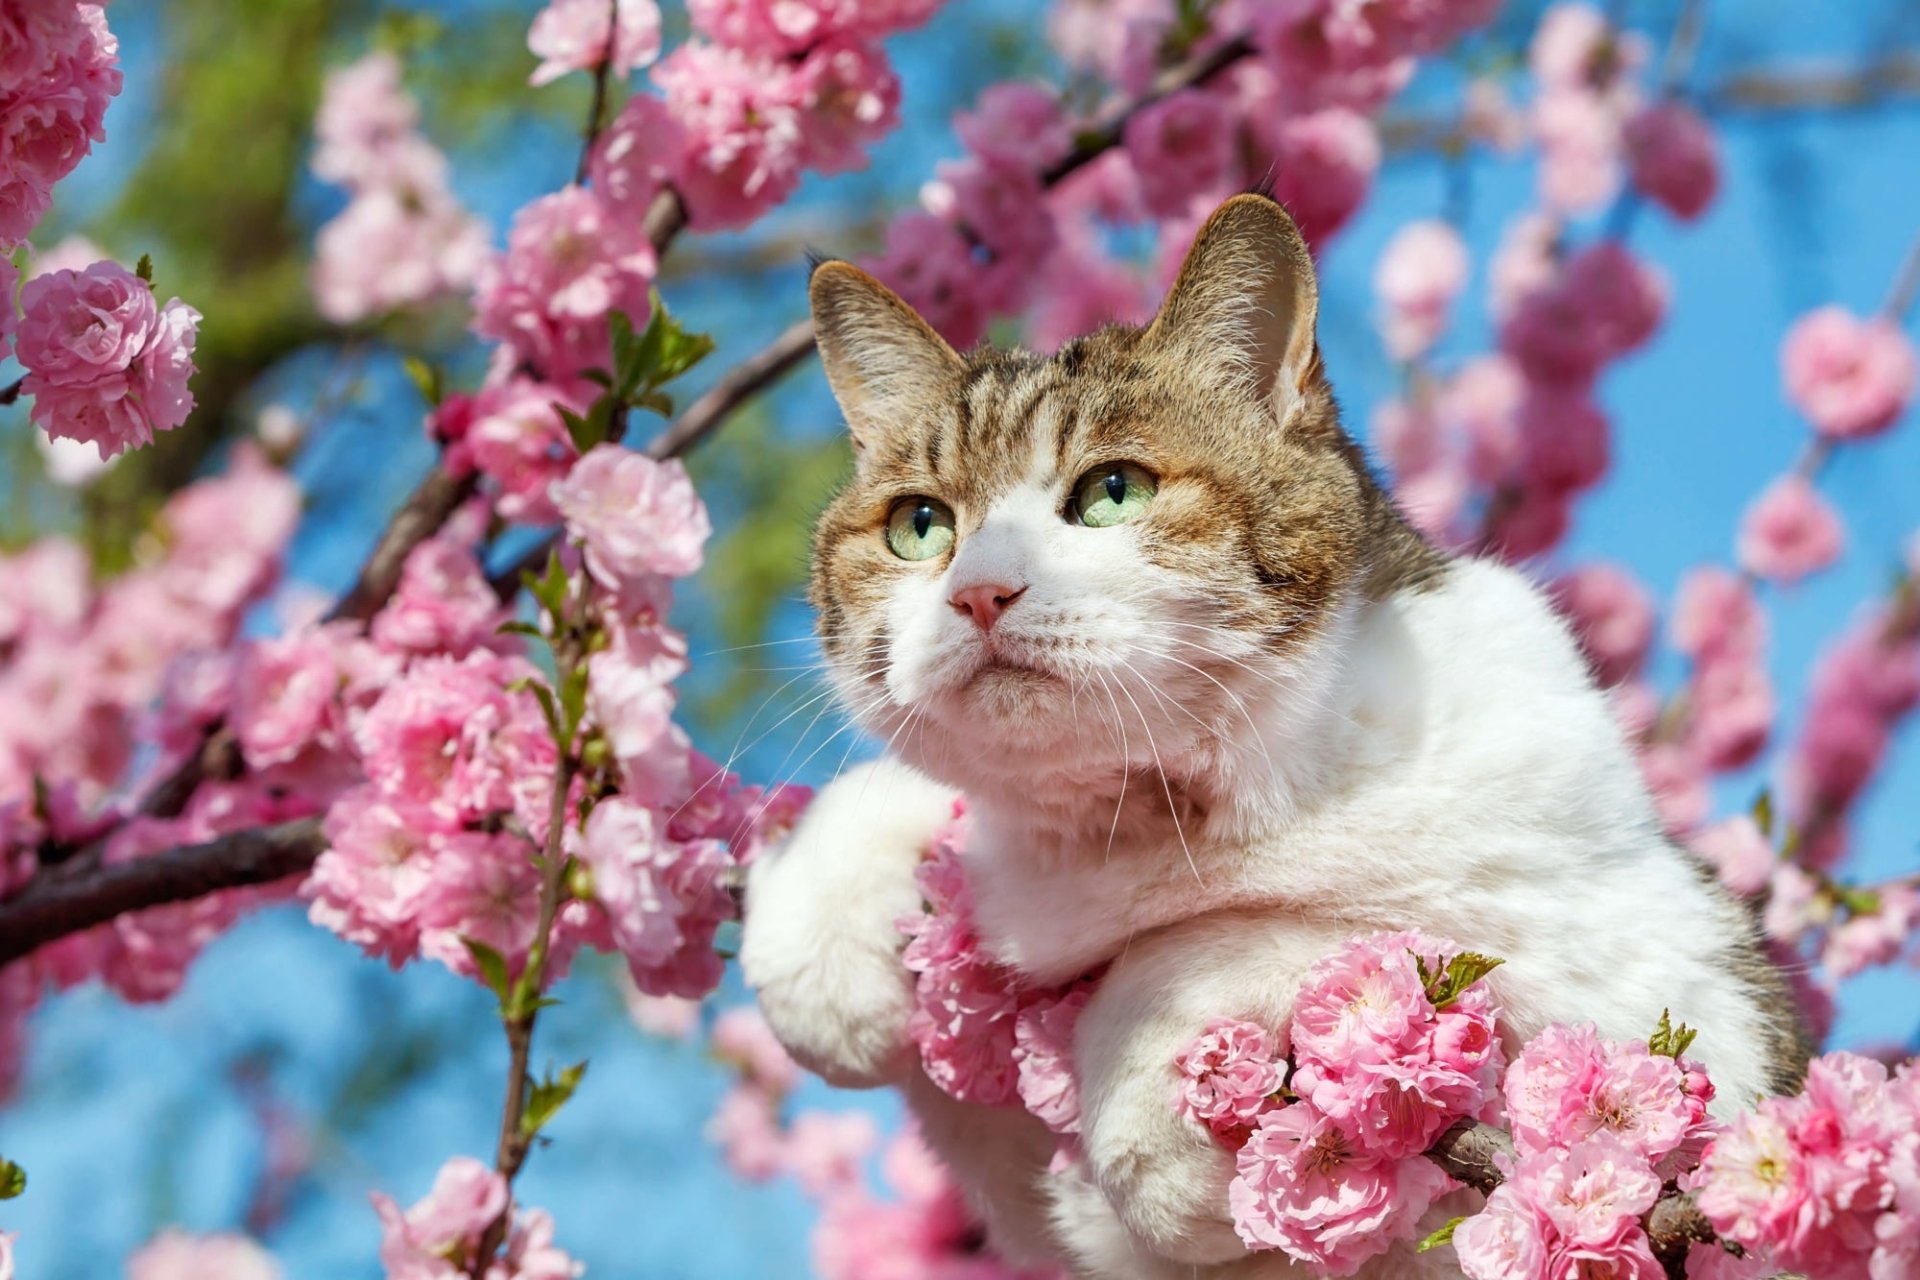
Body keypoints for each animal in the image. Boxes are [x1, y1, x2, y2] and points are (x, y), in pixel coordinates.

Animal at [729, 192, 1797, 1280]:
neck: (1146, 825)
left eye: (1112, 492)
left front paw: (1146, 1090)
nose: (978, 591)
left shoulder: (1669, 984)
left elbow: (1281, 931)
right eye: (919, 525)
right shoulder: (1053, 1229)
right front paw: (819, 937)